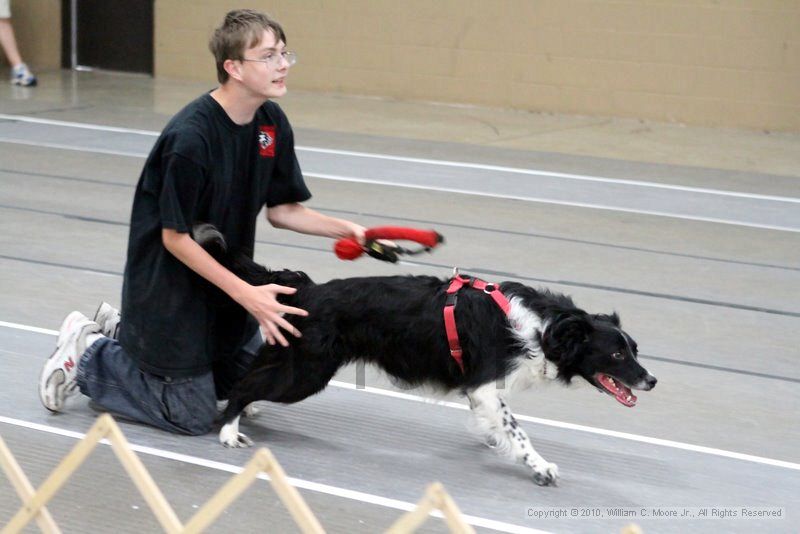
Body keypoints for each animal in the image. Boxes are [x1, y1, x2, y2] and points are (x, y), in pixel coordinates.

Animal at [194, 224, 656, 488]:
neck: (544, 328)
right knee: (246, 384)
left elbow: (499, 426)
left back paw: (243, 414)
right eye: (617, 353)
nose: (651, 380)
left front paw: (495, 440)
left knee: (250, 375)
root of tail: (307, 288)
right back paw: (229, 430)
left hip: (299, 361)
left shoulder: (480, 391)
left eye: (634, 349)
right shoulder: (485, 385)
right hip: (307, 372)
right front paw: (539, 467)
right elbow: (519, 431)